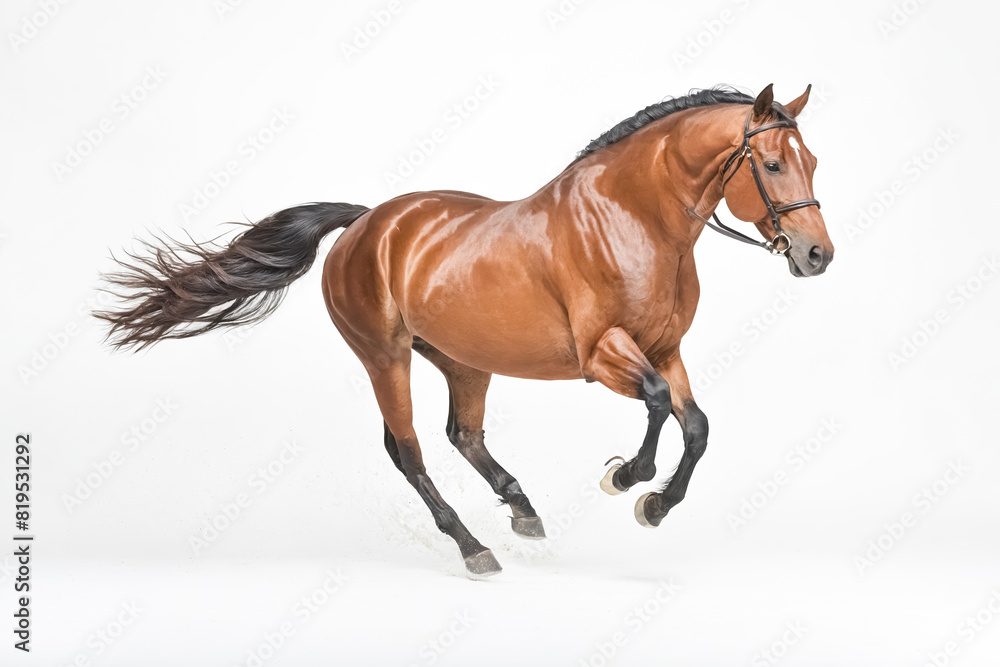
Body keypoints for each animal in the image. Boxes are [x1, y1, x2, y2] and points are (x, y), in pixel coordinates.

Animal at [96, 84, 834, 578]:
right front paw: (626, 478)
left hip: (463, 358)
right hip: (386, 357)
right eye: (772, 165)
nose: (817, 254)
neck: (635, 219)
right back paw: (474, 547)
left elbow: (697, 425)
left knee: (464, 435)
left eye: (814, 161)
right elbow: (656, 406)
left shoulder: (665, 349)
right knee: (409, 451)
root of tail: (366, 222)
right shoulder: (604, 354)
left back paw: (523, 510)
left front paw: (654, 506)